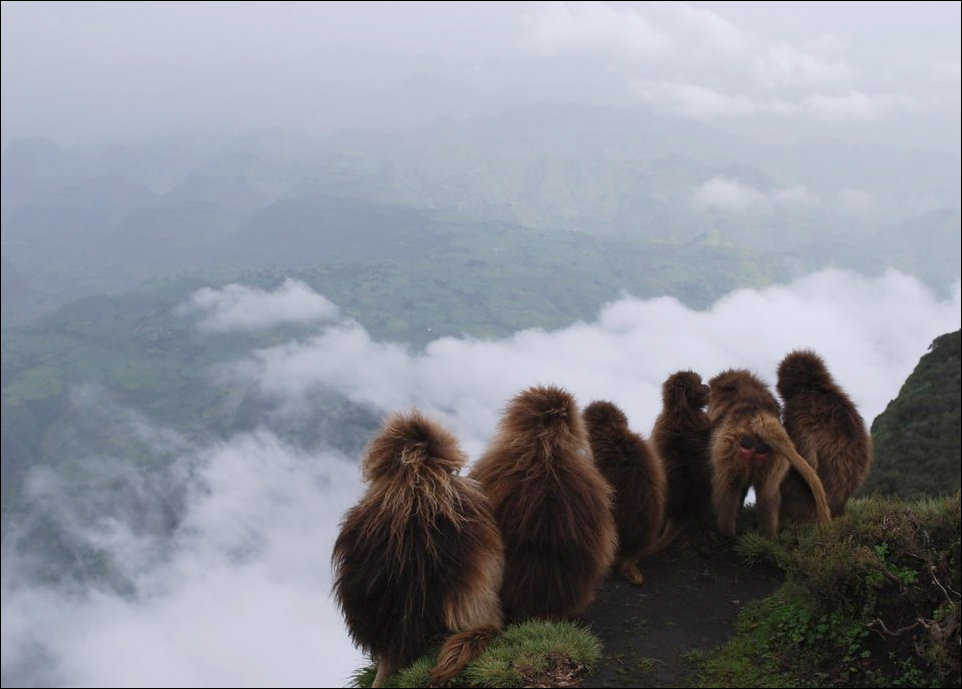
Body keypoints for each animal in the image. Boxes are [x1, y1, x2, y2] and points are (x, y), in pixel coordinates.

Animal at [704, 370, 832, 536]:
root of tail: (760, 418)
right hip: (774, 457)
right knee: (768, 496)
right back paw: (767, 535)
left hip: (733, 449)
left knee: (727, 491)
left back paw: (726, 532)